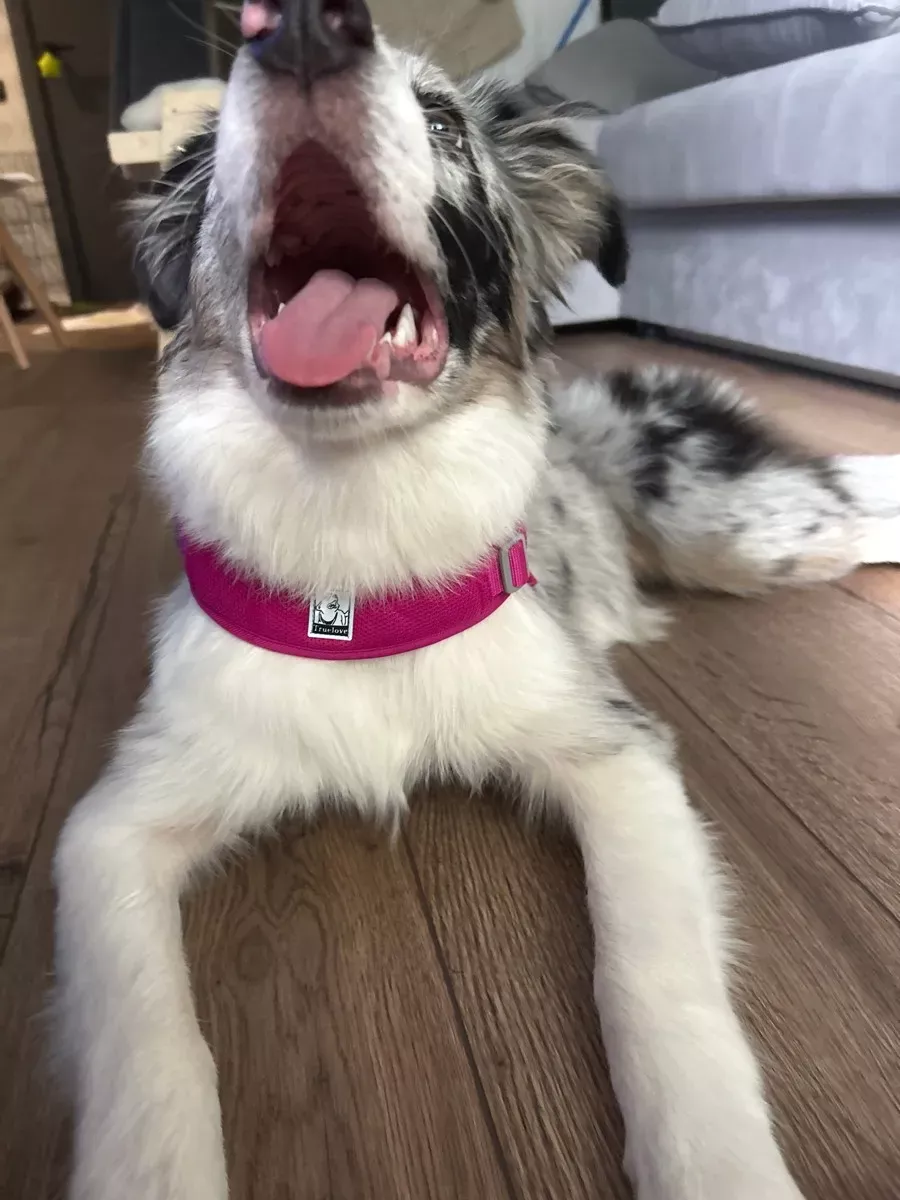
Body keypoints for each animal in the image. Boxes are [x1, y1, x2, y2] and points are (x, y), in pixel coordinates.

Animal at [53, 2, 900, 1198]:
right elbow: (146, 1041)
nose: (301, 31)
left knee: (846, 503)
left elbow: (652, 973)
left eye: (446, 118)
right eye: (214, 141)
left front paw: (715, 1160)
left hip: (742, 531)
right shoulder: (116, 824)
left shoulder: (616, 751)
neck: (356, 548)